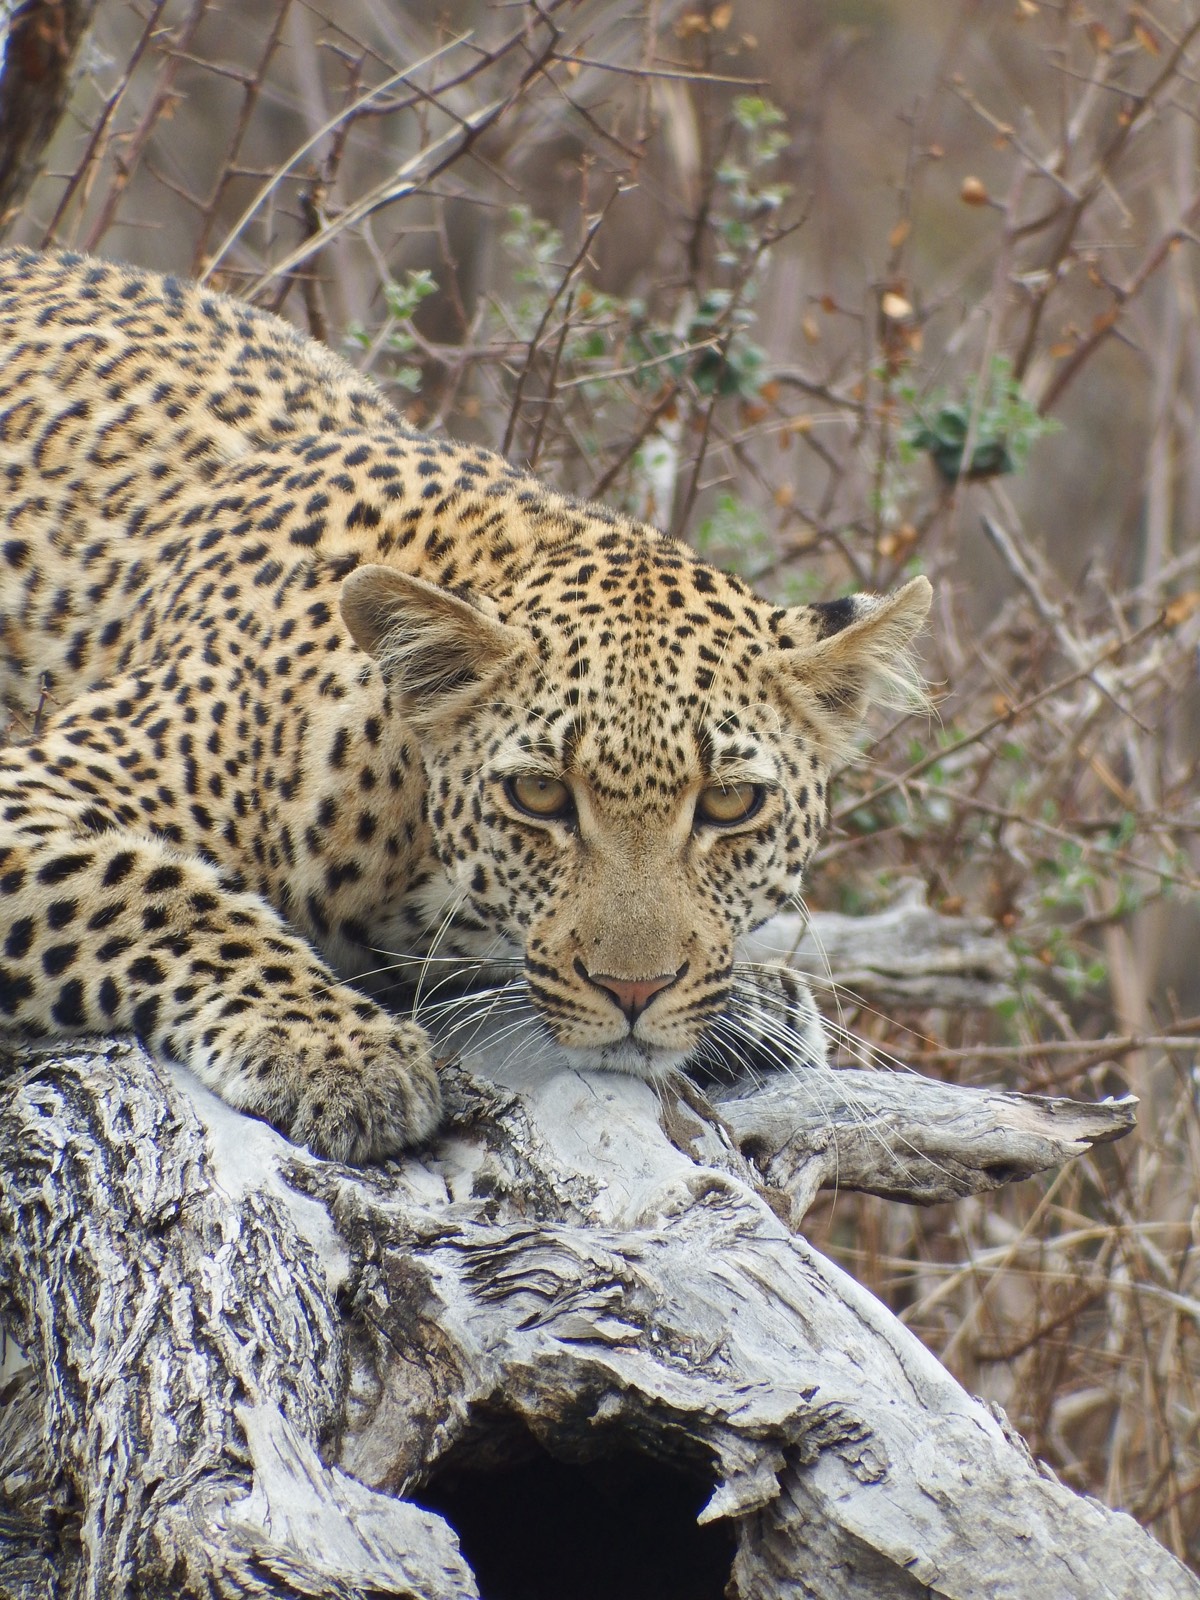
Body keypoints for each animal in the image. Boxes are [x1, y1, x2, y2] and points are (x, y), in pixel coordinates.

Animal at [0, 248, 931, 1161]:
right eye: (540, 794)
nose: (634, 990)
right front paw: (338, 1049)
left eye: (731, 804)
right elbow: (157, 889)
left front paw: (760, 1002)